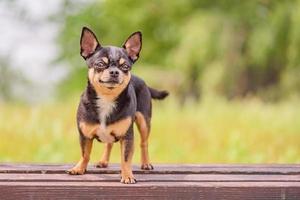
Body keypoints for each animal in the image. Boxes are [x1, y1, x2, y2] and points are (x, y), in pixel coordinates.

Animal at [67, 27, 169, 184]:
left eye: (125, 66)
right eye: (100, 64)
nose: (115, 71)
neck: (107, 99)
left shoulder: (127, 137)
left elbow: (125, 158)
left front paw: (127, 175)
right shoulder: (85, 135)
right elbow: (85, 153)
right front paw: (79, 168)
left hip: (144, 122)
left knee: (144, 143)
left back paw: (146, 163)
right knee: (108, 144)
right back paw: (103, 161)